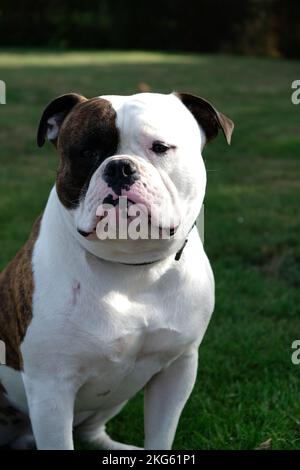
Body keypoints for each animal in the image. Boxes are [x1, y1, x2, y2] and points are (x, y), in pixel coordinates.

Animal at [0, 91, 233, 448]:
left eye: (160, 147)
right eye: (87, 152)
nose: (120, 167)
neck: (131, 266)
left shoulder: (178, 369)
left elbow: (160, 436)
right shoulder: (50, 389)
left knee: (90, 431)